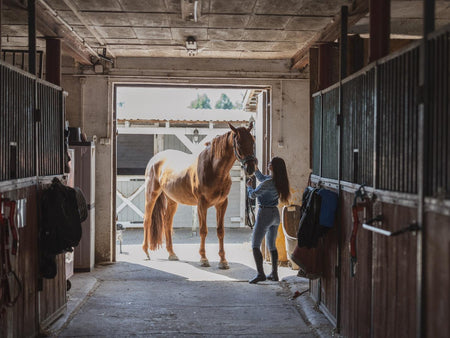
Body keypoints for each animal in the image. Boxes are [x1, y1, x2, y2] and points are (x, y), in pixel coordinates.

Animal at [142, 122, 255, 270]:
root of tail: (155, 159)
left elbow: (220, 231)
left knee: (167, 222)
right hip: (151, 195)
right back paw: (146, 252)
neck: (213, 168)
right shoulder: (202, 205)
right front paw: (203, 259)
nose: (251, 168)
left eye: (252, 142)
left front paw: (223, 261)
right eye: (239, 143)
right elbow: (203, 230)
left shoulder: (222, 204)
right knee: (147, 220)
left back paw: (172, 253)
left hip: (172, 200)